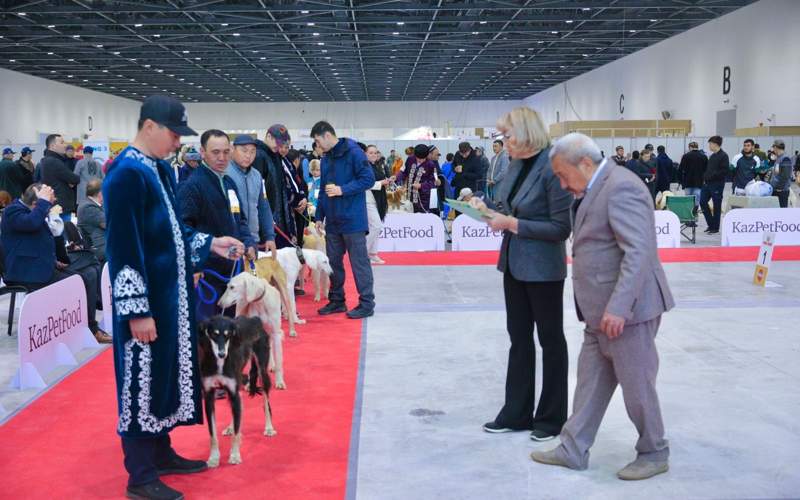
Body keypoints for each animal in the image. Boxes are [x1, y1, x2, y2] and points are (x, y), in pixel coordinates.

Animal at [198, 314, 276, 466]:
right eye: (214, 334)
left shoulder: (233, 392)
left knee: (265, 401)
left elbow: (236, 432)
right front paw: (214, 457)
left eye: (228, 335)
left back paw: (269, 427)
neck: (219, 363)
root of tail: (254, 318)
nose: (222, 354)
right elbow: (212, 433)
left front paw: (234, 455)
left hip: (262, 369)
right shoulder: (209, 395)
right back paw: (230, 426)